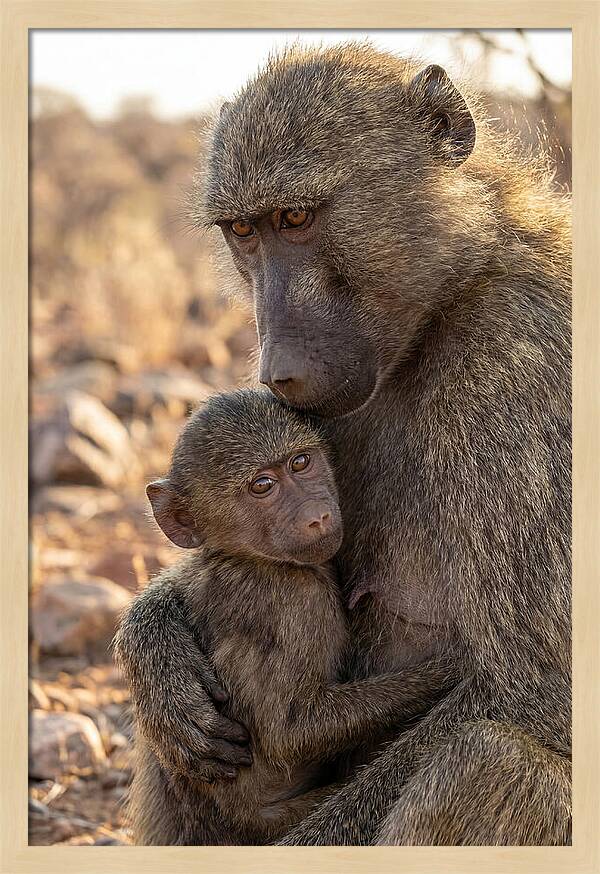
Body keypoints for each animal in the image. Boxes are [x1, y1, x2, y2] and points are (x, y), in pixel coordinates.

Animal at [116, 388, 457, 845]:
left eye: (301, 462)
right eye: (262, 486)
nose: (318, 516)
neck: (248, 558)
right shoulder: (296, 601)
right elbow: (291, 732)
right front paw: (448, 671)